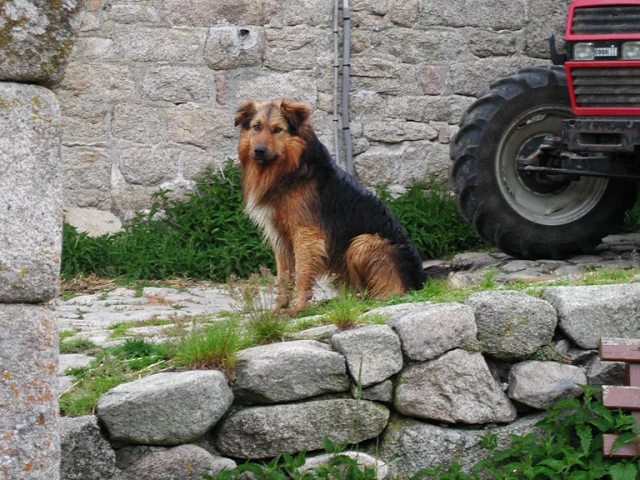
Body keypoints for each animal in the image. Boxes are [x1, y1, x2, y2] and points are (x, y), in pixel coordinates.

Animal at [235, 98, 464, 316]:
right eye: (256, 127)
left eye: (278, 129)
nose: (258, 151)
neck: (290, 168)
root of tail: (421, 277)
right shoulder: (280, 238)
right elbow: (283, 278)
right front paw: (277, 311)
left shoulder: (305, 234)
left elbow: (302, 273)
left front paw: (298, 308)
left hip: (363, 243)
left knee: (393, 292)